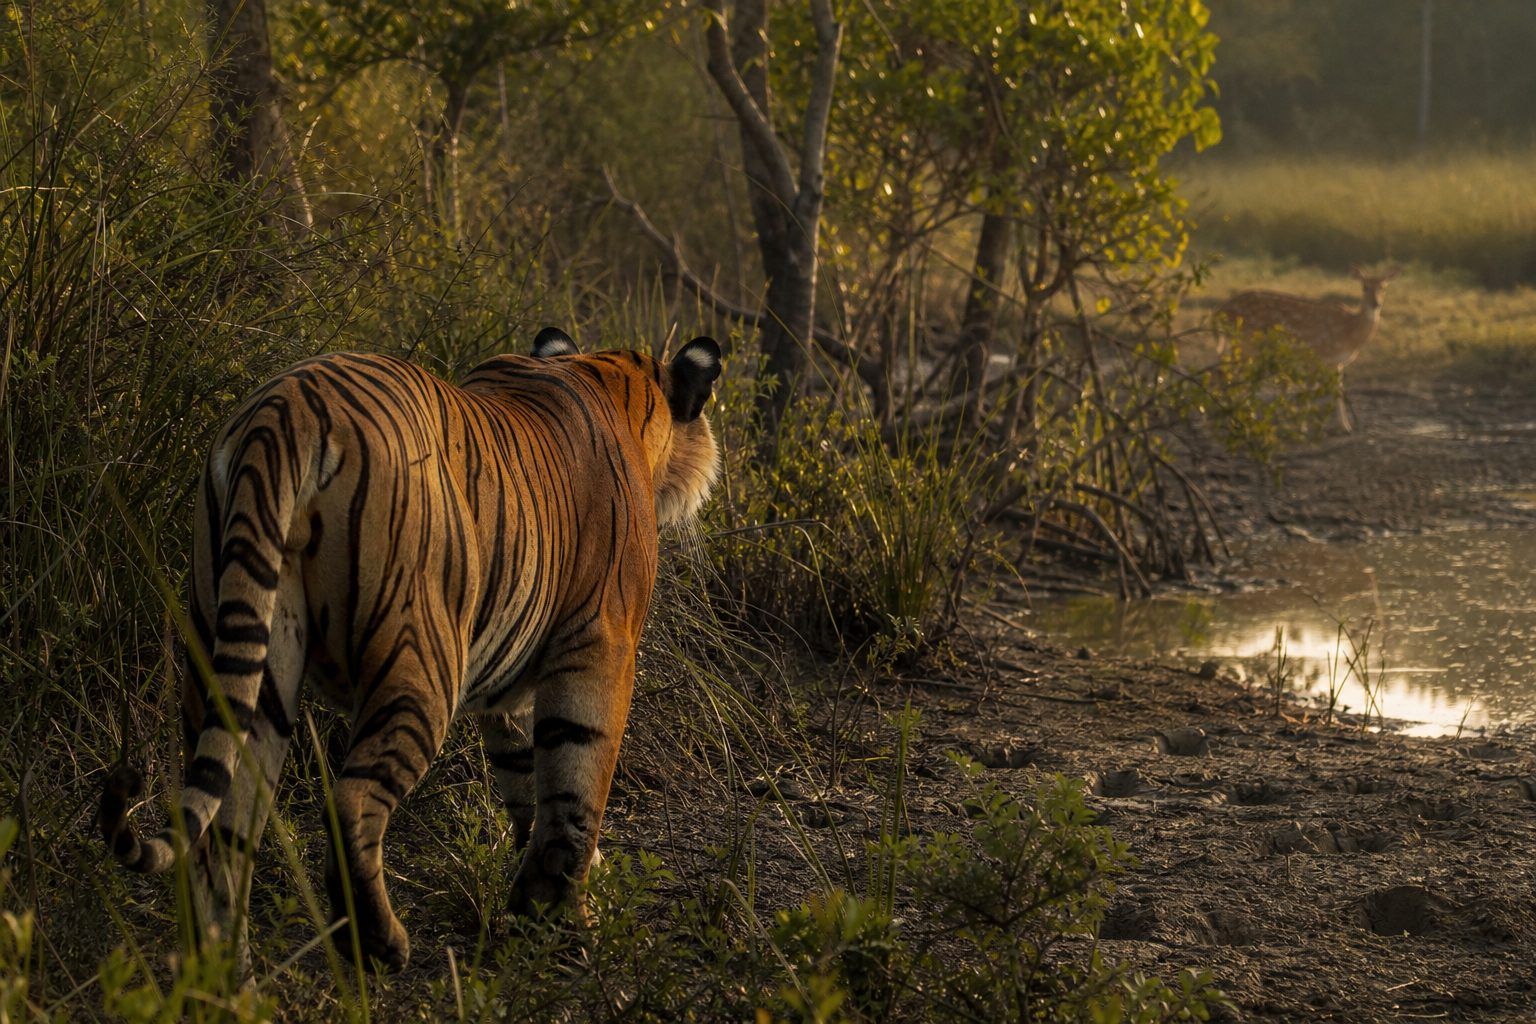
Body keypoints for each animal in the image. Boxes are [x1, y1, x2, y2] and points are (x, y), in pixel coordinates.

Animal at [100, 327, 722, 971]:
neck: (608, 376)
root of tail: (283, 408)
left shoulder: (511, 688)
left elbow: (526, 777)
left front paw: (537, 908)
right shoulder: (601, 647)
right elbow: (574, 789)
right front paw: (569, 924)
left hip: (243, 643)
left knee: (221, 838)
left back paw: (225, 978)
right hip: (419, 657)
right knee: (350, 801)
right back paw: (379, 942)